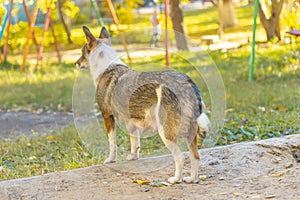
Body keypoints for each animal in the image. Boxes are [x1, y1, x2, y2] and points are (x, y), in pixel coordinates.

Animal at [75, 26, 211, 184]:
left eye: (82, 52)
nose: (76, 63)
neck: (108, 66)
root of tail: (189, 84)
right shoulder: (131, 120)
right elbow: (135, 141)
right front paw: (133, 156)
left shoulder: (107, 116)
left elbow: (112, 143)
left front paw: (110, 160)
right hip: (191, 134)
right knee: (195, 156)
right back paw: (192, 179)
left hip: (166, 132)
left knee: (181, 158)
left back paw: (176, 179)